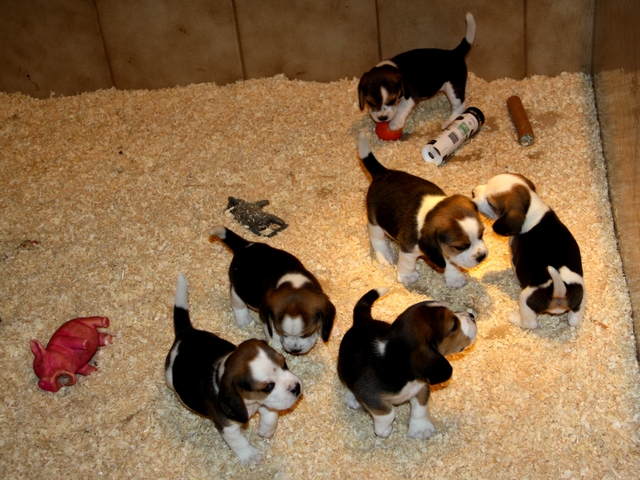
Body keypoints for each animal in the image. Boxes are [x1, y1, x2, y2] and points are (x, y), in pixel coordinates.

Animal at [164, 273, 302, 466]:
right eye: (268, 386)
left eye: (285, 364)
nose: (297, 387)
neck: (251, 402)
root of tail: (186, 334)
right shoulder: (228, 427)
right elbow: (239, 442)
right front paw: (251, 456)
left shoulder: (267, 403)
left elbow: (271, 416)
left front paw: (265, 431)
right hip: (169, 377)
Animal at [208, 225, 335, 355]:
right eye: (282, 333)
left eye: (306, 334)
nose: (295, 350)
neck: (294, 284)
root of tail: (245, 246)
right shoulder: (266, 315)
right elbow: (272, 334)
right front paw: (276, 347)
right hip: (237, 289)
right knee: (238, 304)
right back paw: (245, 321)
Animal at [338, 287, 476, 439]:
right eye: (454, 326)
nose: (471, 315)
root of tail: (363, 321)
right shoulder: (369, 394)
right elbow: (388, 413)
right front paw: (383, 430)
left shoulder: (422, 387)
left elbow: (420, 408)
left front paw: (421, 429)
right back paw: (352, 397)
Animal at [358, 132, 487, 287]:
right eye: (461, 247)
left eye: (481, 234)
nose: (482, 256)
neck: (430, 212)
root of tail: (383, 173)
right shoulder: (408, 249)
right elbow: (407, 264)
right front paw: (407, 276)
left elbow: (451, 262)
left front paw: (454, 277)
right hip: (375, 223)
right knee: (376, 238)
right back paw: (385, 255)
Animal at [472, 173, 585, 329]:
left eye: (489, 201)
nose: (473, 192)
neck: (531, 208)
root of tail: (558, 293)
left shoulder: (513, 258)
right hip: (580, 298)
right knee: (574, 320)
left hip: (525, 300)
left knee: (531, 324)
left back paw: (515, 318)